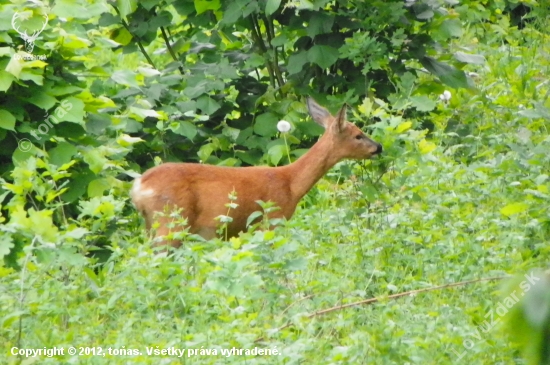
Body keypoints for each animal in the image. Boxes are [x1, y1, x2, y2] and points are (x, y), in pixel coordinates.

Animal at [133, 96, 384, 246]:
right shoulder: (271, 219)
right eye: (358, 135)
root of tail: (138, 187)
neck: (291, 184)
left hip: (151, 224)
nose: (378, 147)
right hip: (172, 220)